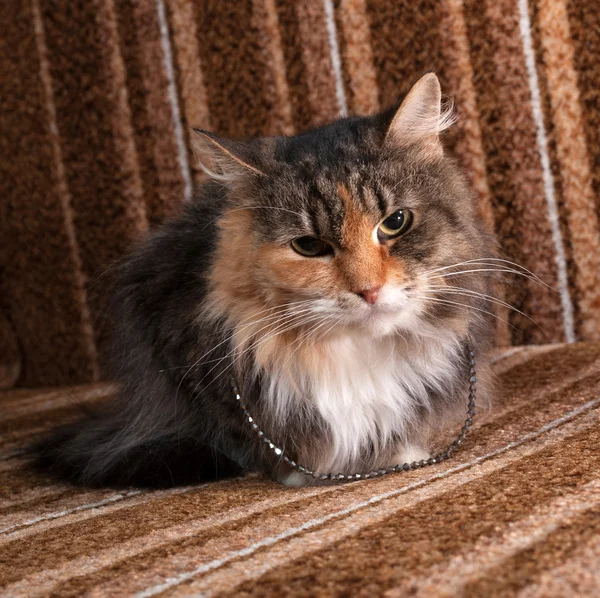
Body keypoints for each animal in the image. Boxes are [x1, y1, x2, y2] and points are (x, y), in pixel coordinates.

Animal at [38, 72, 496, 490]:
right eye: (309, 246)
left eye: (395, 222)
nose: (369, 290)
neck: (351, 353)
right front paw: (302, 471)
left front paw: (399, 452)